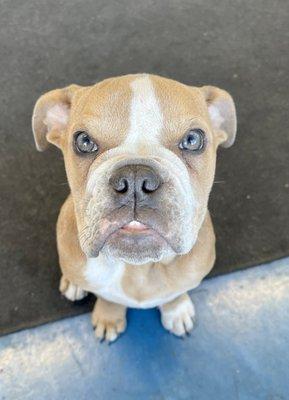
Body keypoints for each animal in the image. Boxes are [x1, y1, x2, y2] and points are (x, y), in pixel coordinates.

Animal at [31, 73, 235, 342]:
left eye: (193, 140)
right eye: (83, 141)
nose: (136, 179)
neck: (138, 269)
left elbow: (176, 292)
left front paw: (176, 310)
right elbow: (109, 298)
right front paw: (109, 317)